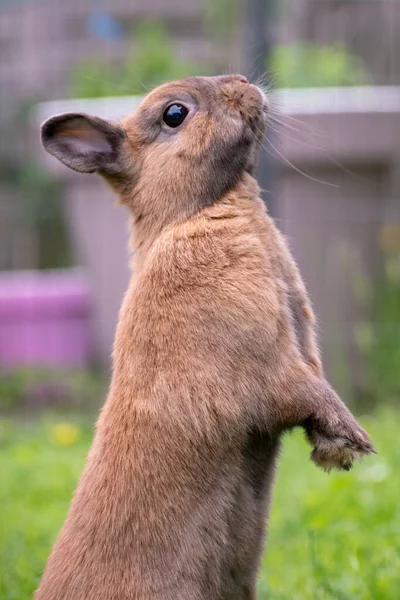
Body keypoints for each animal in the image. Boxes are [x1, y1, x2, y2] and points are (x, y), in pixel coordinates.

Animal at [35, 75, 376, 600]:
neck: (197, 212)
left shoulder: (300, 350)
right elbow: (306, 392)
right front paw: (350, 443)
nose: (245, 83)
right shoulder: (269, 367)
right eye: (174, 114)